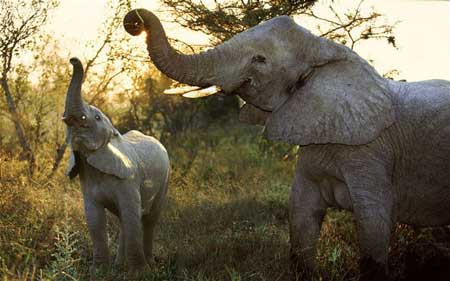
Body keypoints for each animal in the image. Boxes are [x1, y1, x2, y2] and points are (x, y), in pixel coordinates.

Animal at [62, 57, 170, 276]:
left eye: (96, 118)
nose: (72, 59)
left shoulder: (129, 179)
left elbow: (131, 215)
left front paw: (139, 274)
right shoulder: (86, 180)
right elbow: (94, 218)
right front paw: (99, 273)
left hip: (165, 179)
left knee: (149, 219)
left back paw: (150, 265)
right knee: (125, 220)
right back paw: (121, 266)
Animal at [123, 8, 450, 280]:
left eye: (260, 59)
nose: (135, 21)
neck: (323, 49)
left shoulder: (372, 151)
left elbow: (373, 221)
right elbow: (302, 215)